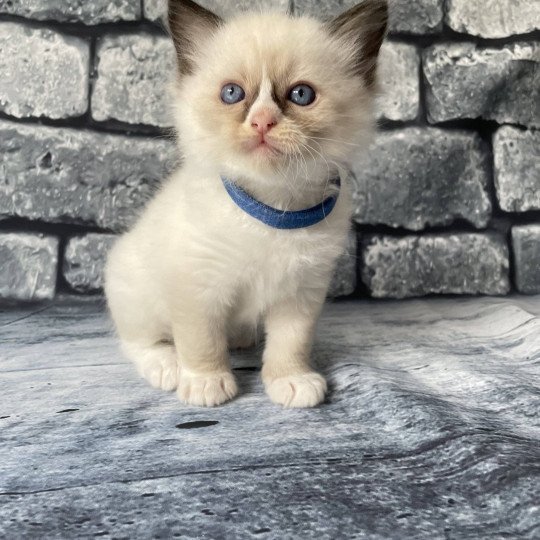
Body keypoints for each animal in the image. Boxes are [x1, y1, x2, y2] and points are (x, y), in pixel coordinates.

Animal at [103, 0, 386, 404]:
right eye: (232, 94)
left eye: (301, 95)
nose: (262, 122)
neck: (272, 208)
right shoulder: (197, 285)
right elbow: (201, 341)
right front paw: (206, 384)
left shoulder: (301, 293)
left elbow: (290, 344)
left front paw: (291, 382)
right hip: (134, 290)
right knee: (137, 341)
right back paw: (167, 366)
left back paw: (239, 338)